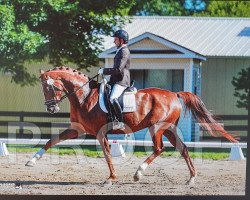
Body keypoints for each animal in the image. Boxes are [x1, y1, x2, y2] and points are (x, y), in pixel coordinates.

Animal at [25, 66, 238, 185]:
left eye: (48, 87)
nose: (51, 108)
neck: (84, 95)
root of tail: (174, 94)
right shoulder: (78, 129)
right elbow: (52, 140)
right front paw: (32, 161)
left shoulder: (100, 132)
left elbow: (107, 154)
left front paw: (111, 178)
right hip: (168, 129)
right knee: (183, 148)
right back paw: (191, 178)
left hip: (156, 128)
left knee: (159, 148)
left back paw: (138, 173)